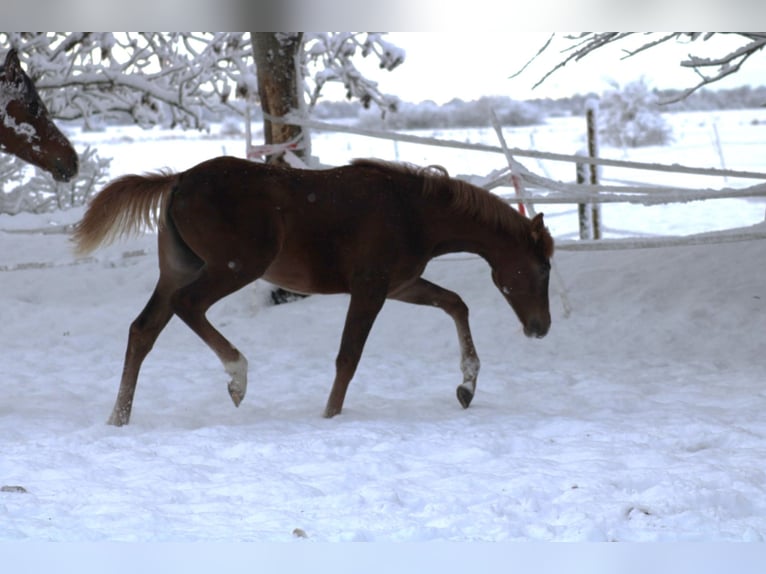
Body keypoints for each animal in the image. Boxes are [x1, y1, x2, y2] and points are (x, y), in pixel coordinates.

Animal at [73, 156, 554, 426]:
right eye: (543, 267)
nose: (541, 328)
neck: (413, 211)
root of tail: (179, 179)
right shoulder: (370, 289)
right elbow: (348, 357)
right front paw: (329, 416)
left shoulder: (401, 285)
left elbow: (456, 303)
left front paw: (467, 387)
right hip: (236, 266)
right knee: (186, 305)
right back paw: (237, 378)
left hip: (178, 269)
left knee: (143, 331)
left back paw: (118, 419)